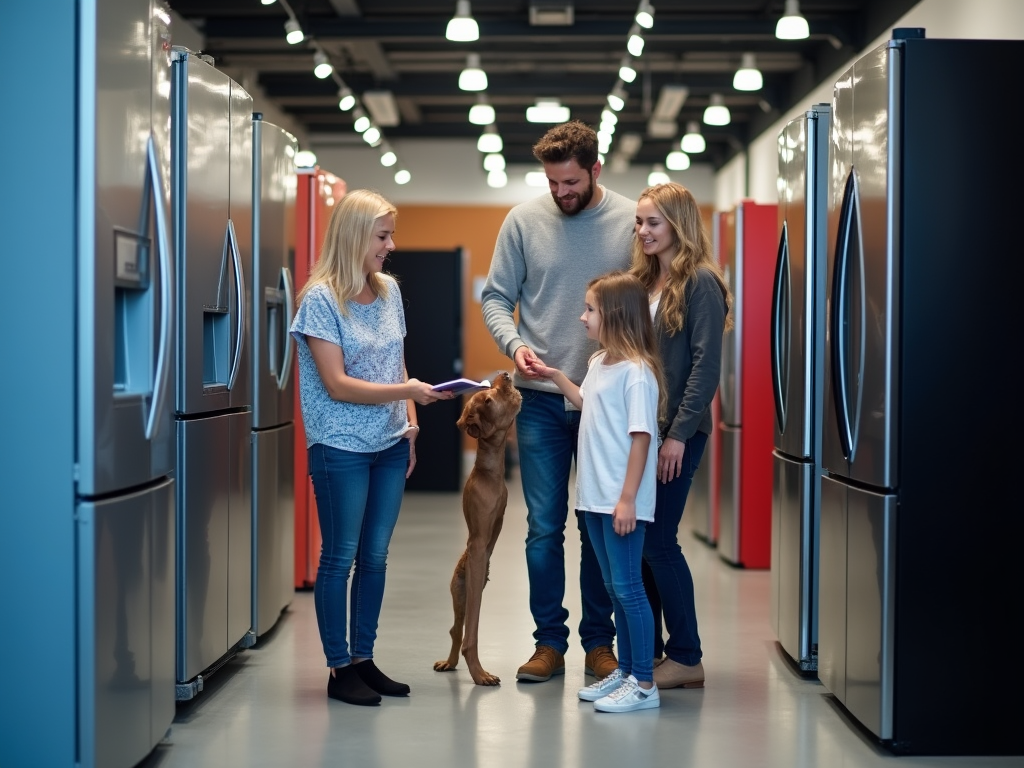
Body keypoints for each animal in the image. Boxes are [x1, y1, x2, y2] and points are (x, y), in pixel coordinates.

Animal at [434, 372, 524, 684]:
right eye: (487, 399)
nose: (505, 375)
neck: (490, 472)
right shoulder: (478, 543)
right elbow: (470, 635)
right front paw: (479, 673)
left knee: (456, 630)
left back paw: (450, 663)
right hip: (463, 589)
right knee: (459, 631)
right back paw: (463, 666)